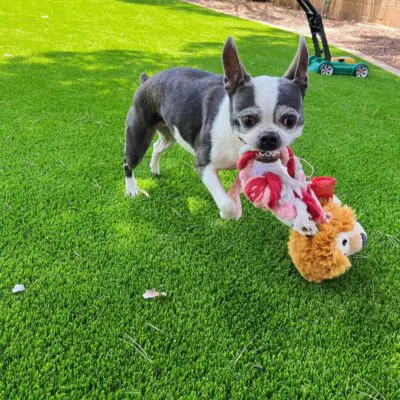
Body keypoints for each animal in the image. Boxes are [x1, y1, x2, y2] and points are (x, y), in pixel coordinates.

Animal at [124, 36, 310, 223]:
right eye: (247, 120)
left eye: (290, 120)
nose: (269, 137)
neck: (236, 141)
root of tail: (147, 81)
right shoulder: (204, 166)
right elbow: (228, 205)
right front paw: (226, 213)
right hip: (138, 137)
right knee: (128, 163)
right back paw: (131, 189)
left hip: (169, 135)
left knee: (157, 147)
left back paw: (154, 169)